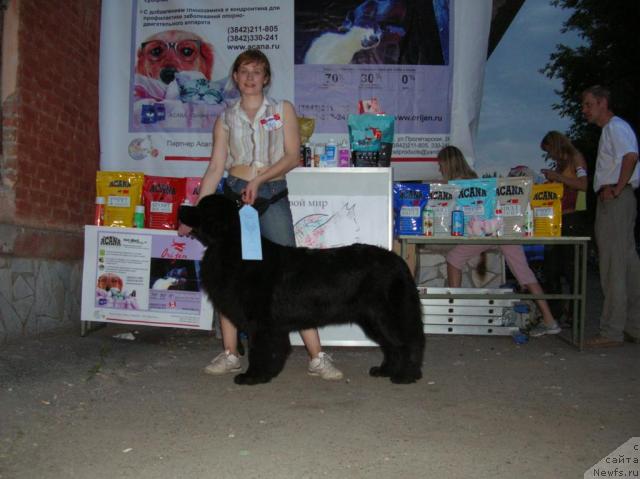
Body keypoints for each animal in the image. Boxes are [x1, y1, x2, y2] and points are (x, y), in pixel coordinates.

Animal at [179, 195, 424, 386]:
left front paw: (252, 377)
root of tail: (398, 261)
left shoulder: (260, 323)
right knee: (391, 345)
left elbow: (259, 350)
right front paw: (265, 374)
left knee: (406, 342)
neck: (233, 247)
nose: (181, 208)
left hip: (385, 315)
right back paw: (385, 371)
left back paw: (405, 376)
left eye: (200, 207)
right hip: (372, 319)